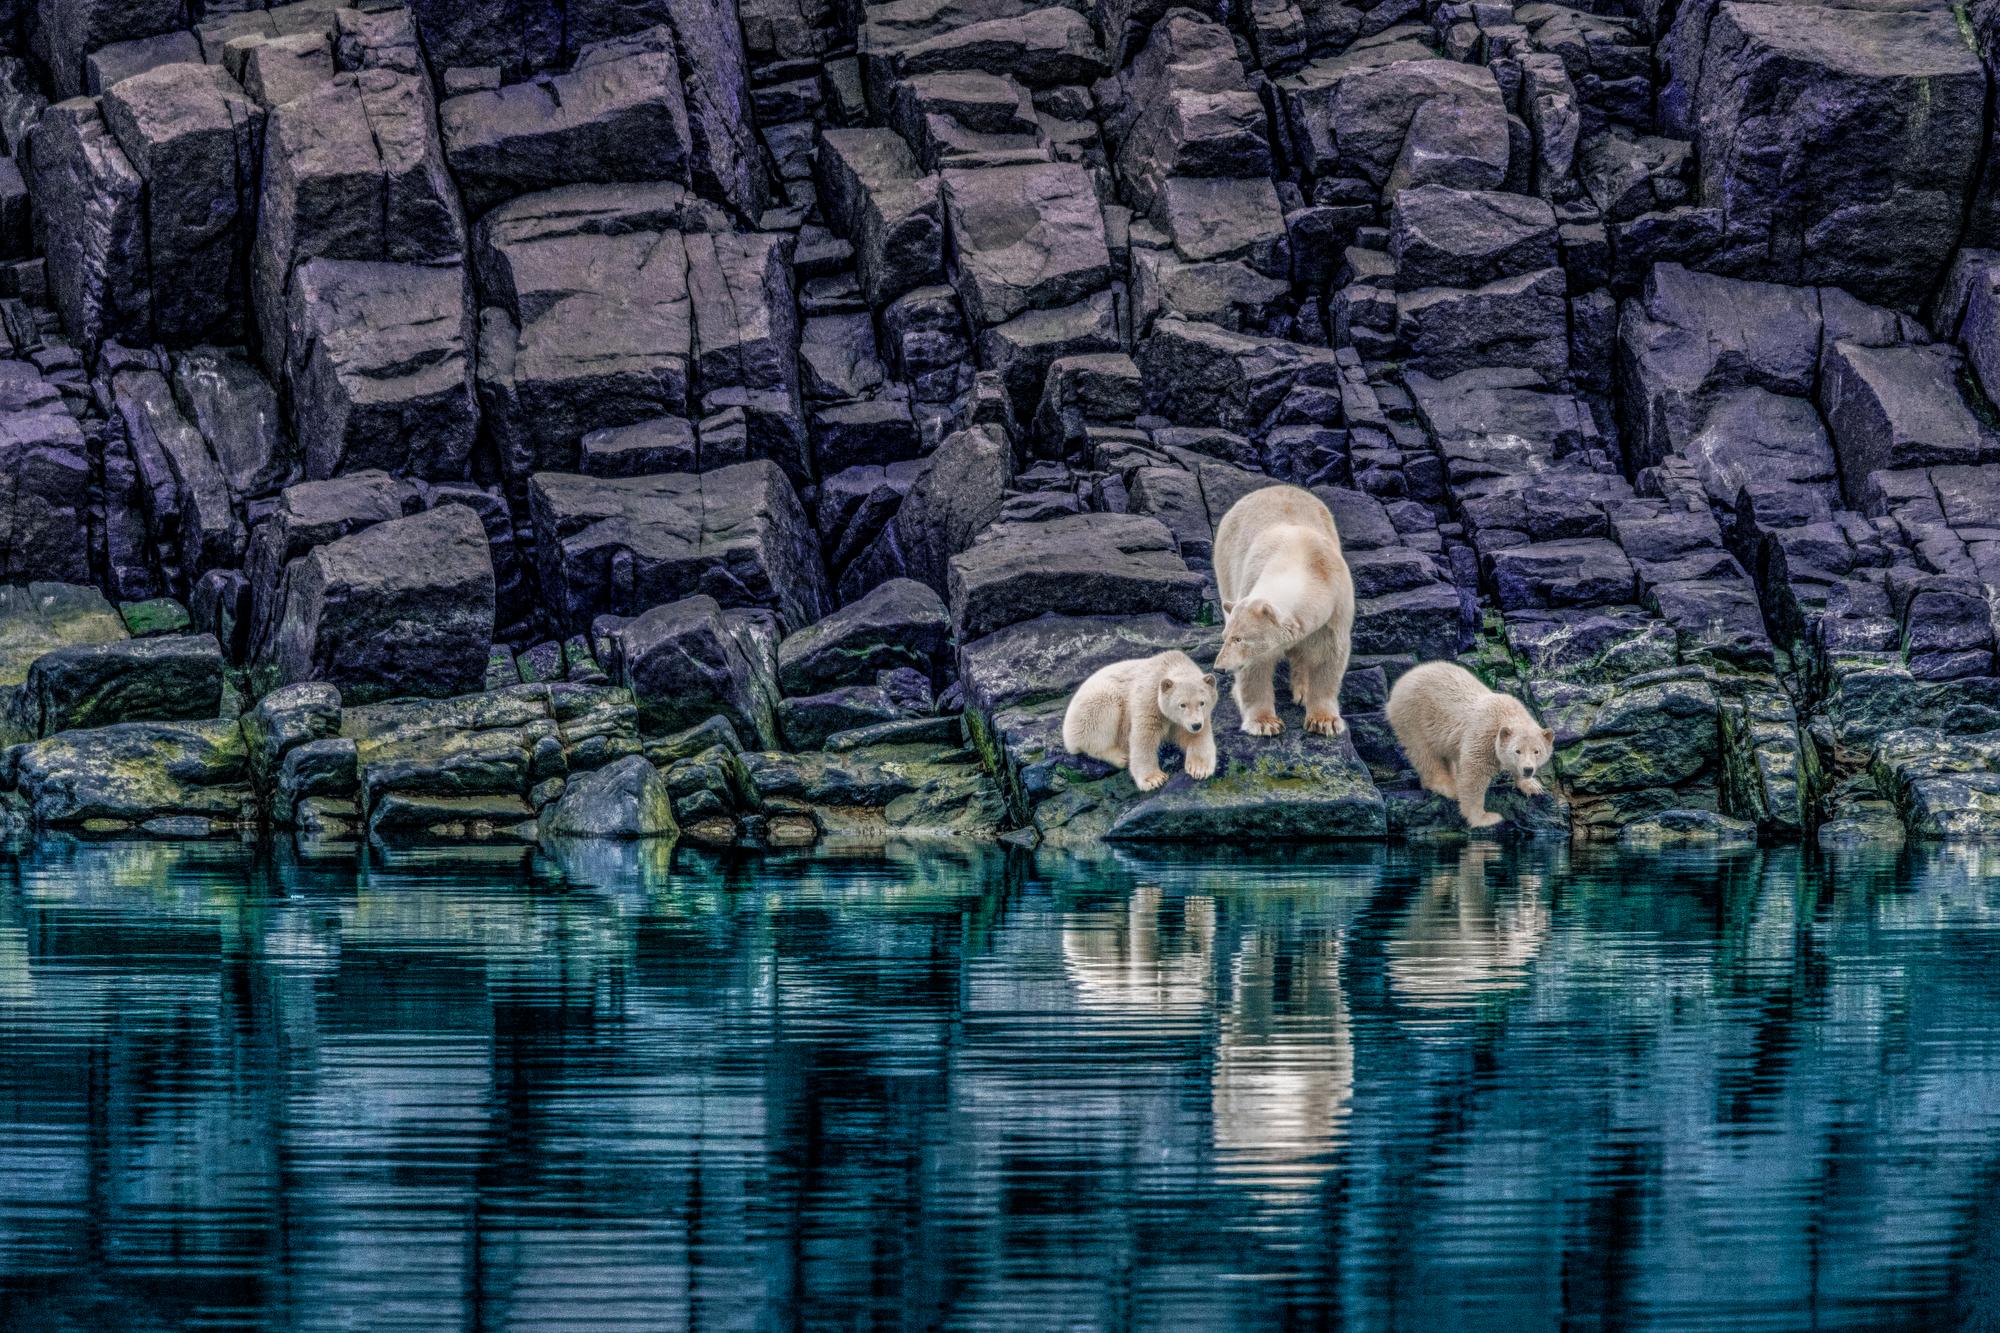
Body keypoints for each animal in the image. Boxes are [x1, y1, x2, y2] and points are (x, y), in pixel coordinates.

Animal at [1064, 644, 1216, 784]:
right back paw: (1121, 756)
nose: (1196, 725)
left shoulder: (1198, 718)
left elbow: (1198, 737)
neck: (1170, 664)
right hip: (1093, 703)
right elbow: (1144, 735)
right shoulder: (1149, 698)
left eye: (1202, 703)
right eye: (1182, 704)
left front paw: (1199, 769)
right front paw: (1154, 779)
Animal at [1200, 482, 1360, 736]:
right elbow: (1256, 666)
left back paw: (1303, 690)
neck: (1302, 559)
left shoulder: (1336, 607)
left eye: (1239, 639)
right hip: (1225, 561)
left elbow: (1328, 655)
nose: (1219, 668)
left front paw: (1324, 720)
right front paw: (1265, 722)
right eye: (1227, 637)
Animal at [1392, 660, 1560, 824]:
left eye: (1536, 751)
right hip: (1414, 718)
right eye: (1517, 750)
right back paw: (1449, 786)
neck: (1505, 714)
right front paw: (1485, 818)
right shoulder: (1484, 735)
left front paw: (1533, 786)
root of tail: (1403, 679)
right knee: (1425, 753)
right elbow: (1474, 774)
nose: (1528, 769)